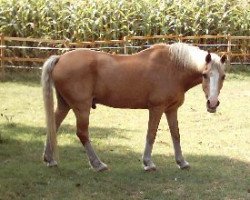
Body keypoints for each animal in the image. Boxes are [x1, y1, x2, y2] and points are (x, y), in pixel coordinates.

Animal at [41, 42, 227, 172]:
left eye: (223, 76)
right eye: (204, 75)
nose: (212, 103)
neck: (173, 67)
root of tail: (60, 58)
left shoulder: (171, 109)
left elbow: (176, 135)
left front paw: (181, 162)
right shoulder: (157, 108)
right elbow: (151, 134)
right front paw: (148, 163)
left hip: (65, 105)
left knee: (53, 126)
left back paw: (50, 159)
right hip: (81, 108)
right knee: (82, 133)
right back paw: (98, 164)